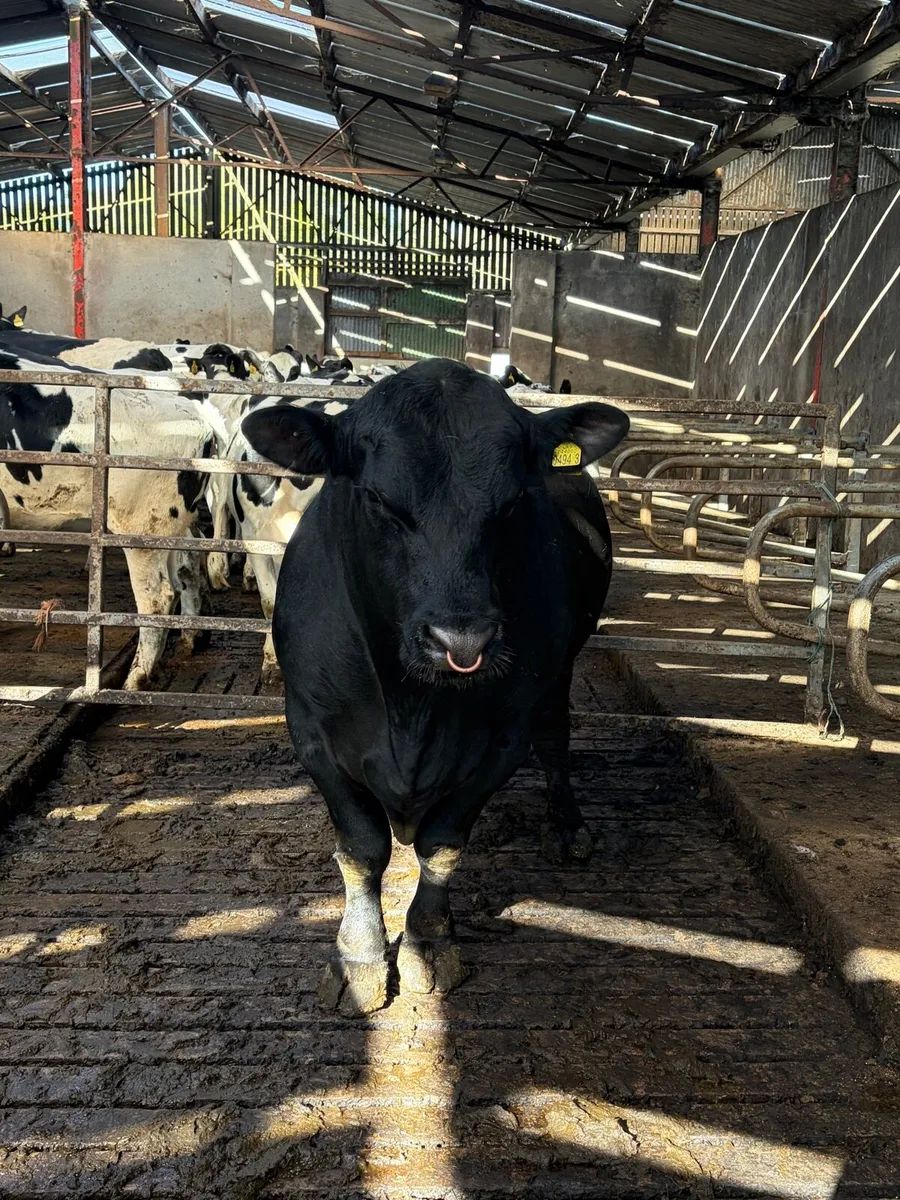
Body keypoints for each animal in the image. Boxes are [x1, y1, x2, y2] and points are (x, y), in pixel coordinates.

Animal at [0, 348, 217, 689]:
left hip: (143, 527)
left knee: (158, 596)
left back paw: (136, 678)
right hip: (174, 522)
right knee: (188, 568)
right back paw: (191, 639)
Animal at [241, 358, 629, 1015]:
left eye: (513, 502)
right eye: (377, 499)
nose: (462, 641)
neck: (409, 708)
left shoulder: (504, 738)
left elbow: (443, 843)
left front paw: (427, 944)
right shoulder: (312, 729)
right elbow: (363, 847)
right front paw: (360, 957)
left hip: (558, 677)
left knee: (556, 738)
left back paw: (567, 826)